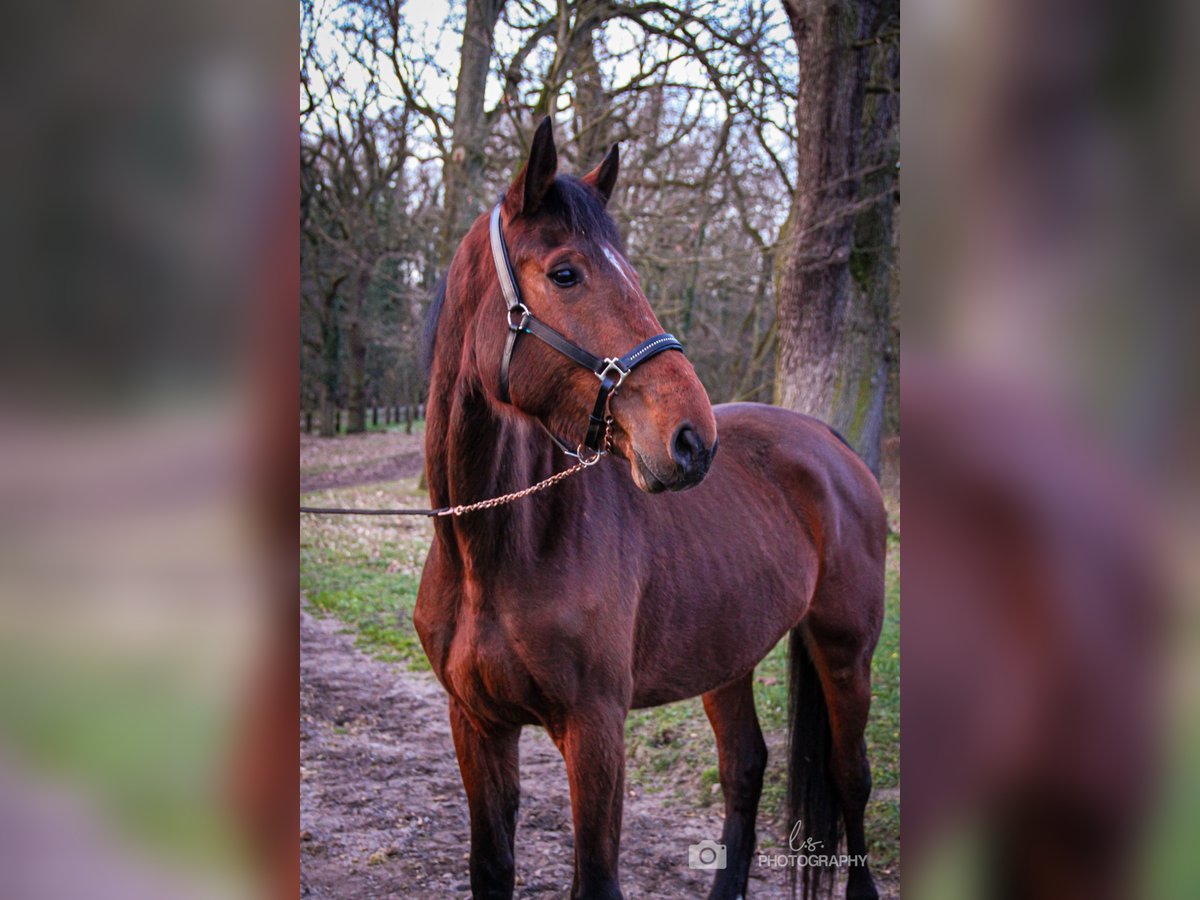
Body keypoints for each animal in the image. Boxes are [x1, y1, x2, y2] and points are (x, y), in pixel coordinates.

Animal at [417, 120, 888, 900]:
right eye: (566, 273)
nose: (692, 439)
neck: (500, 553)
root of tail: (832, 444)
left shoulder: (595, 730)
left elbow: (597, 878)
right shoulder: (477, 726)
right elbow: (491, 868)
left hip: (845, 650)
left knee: (851, 780)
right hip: (728, 653)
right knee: (745, 768)